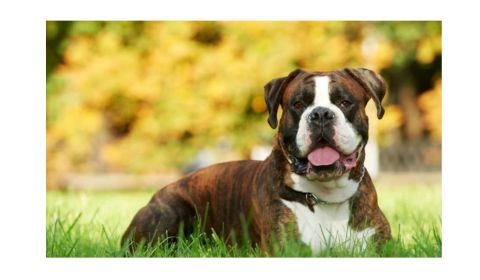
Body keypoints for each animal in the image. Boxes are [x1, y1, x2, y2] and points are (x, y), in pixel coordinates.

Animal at [120, 68, 390, 254]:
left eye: (345, 102)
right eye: (298, 104)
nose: (321, 114)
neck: (326, 196)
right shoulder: (287, 249)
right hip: (169, 214)